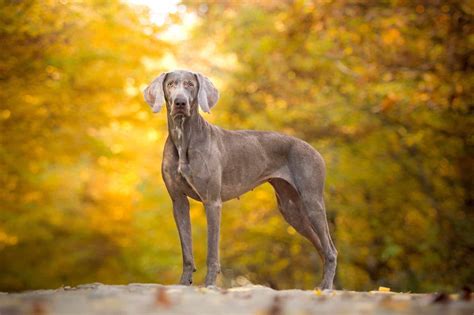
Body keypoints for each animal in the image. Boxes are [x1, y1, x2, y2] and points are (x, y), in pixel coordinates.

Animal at [143, 70, 336, 290]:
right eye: (171, 84)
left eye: (190, 84)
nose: (180, 102)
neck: (183, 138)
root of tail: (314, 149)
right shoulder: (178, 202)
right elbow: (187, 250)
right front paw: (184, 284)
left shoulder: (212, 202)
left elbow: (212, 251)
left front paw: (209, 284)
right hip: (291, 209)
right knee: (320, 245)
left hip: (312, 202)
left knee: (331, 249)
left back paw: (326, 287)